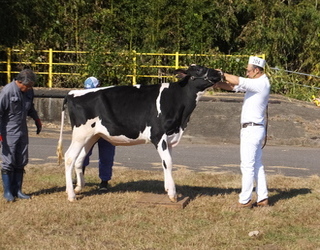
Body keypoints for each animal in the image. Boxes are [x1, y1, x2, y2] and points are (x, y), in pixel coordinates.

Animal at [57, 64, 222, 201]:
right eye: (199, 69)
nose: (219, 72)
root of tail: (72, 93)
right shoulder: (158, 135)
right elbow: (168, 162)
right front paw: (172, 194)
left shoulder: (170, 138)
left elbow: (167, 163)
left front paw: (167, 188)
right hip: (80, 134)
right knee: (69, 157)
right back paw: (71, 195)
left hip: (92, 136)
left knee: (80, 159)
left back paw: (78, 188)